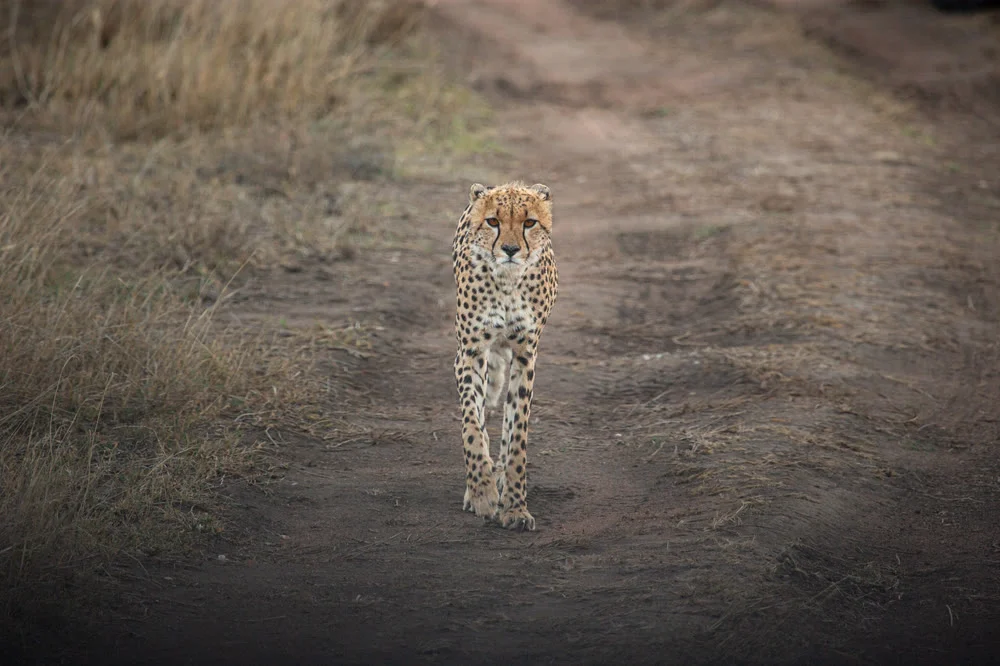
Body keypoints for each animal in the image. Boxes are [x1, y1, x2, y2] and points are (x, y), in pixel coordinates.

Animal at [452, 181, 558, 531]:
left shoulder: (526, 356)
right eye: (493, 221)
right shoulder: (470, 352)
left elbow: (517, 435)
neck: (507, 283)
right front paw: (482, 492)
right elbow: (472, 425)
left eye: (530, 223)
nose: (510, 250)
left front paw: (515, 508)